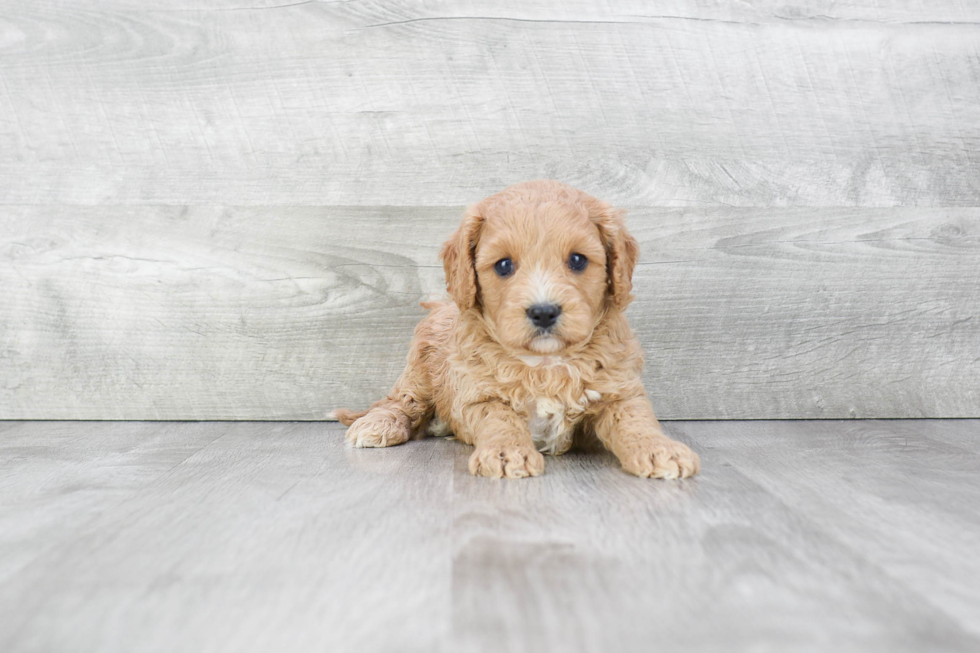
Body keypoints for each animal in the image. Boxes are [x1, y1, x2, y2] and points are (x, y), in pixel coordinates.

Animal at [334, 180, 700, 478]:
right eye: (504, 265)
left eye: (578, 260)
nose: (543, 312)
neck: (545, 363)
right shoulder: (477, 395)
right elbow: (500, 419)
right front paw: (506, 453)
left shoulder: (619, 389)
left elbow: (636, 420)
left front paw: (659, 450)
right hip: (419, 371)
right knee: (400, 401)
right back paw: (378, 424)